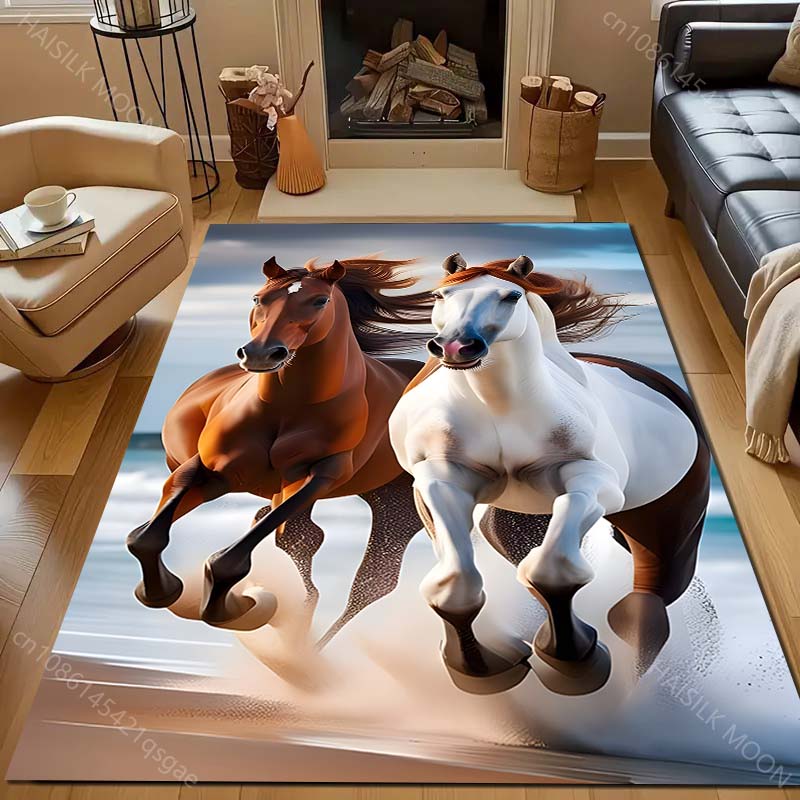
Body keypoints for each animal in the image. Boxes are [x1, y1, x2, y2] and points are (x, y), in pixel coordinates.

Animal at [127, 256, 432, 636]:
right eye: (259, 298)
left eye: (320, 301)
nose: (260, 354)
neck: (287, 406)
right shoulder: (209, 470)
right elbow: (144, 537)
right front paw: (164, 592)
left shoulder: (317, 476)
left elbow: (229, 558)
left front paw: (237, 608)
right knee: (305, 544)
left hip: (399, 504)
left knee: (370, 581)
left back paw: (301, 645)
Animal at [389, 253, 710, 696]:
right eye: (440, 295)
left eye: (510, 296)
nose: (456, 346)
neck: (500, 408)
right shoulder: (441, 481)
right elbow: (455, 585)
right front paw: (484, 665)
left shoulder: (593, 483)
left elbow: (551, 571)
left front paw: (574, 662)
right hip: (520, 517)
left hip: (663, 521)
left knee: (646, 605)